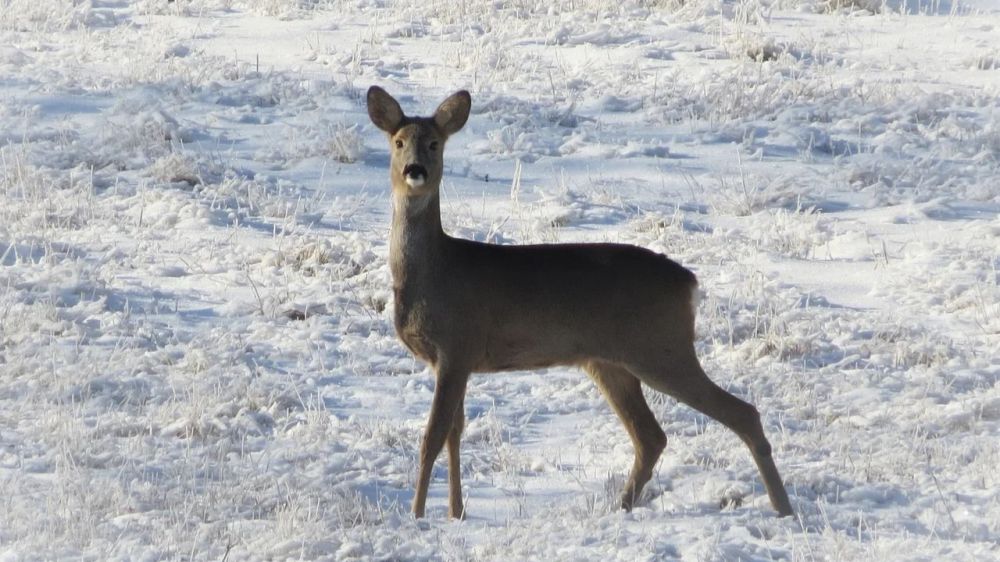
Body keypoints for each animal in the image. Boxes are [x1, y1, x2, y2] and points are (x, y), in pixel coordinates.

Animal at [364, 85, 792, 520]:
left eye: (435, 143)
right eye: (398, 142)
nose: (414, 170)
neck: (433, 272)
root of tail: (689, 282)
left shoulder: (456, 345)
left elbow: (431, 437)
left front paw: (417, 516)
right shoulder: (455, 360)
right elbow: (455, 433)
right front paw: (456, 513)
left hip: (661, 349)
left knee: (741, 413)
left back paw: (783, 509)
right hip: (610, 362)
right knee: (651, 436)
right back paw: (621, 507)